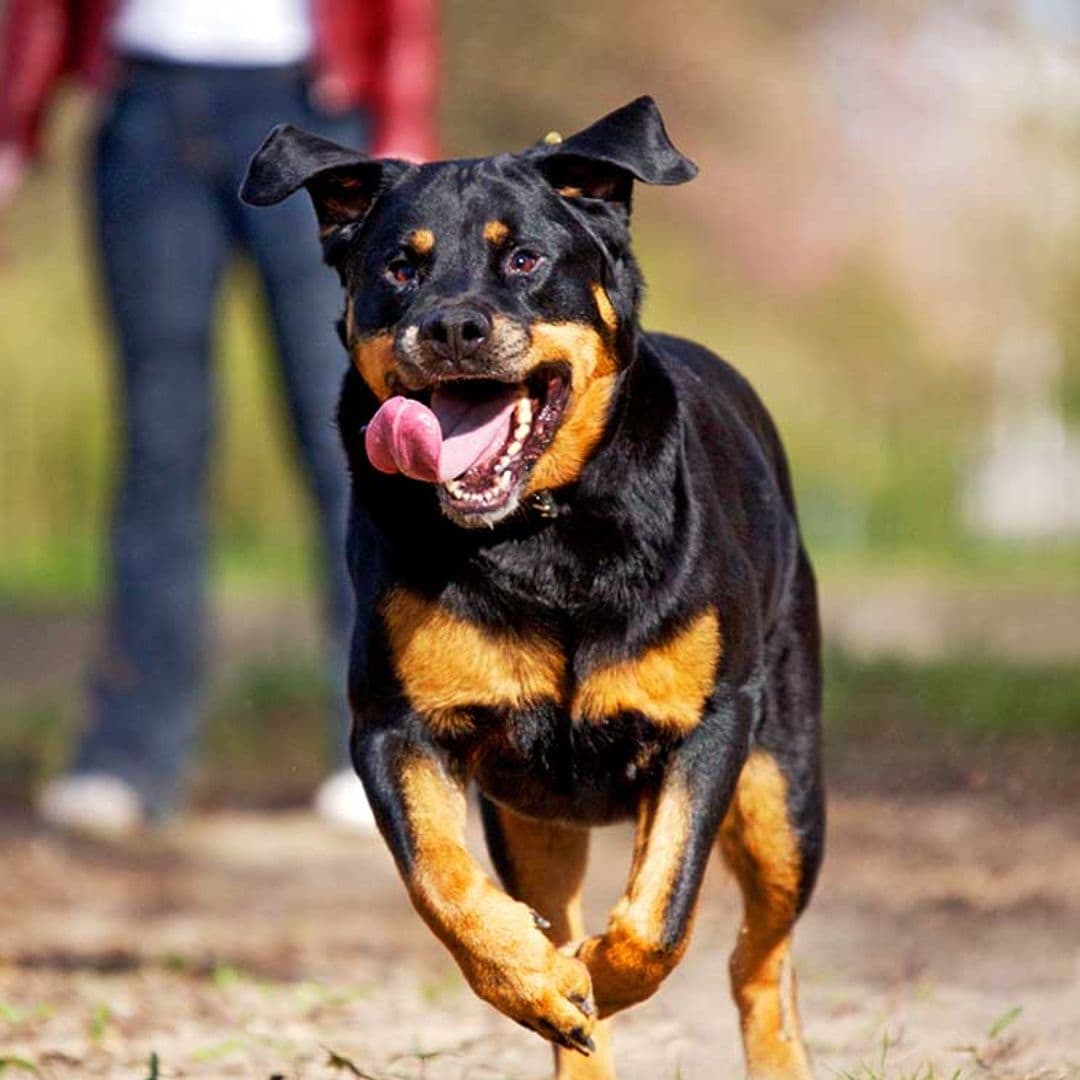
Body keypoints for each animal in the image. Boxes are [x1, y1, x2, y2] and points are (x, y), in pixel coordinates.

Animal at [243, 97, 816, 1075]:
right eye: (400, 266)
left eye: (525, 259)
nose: (452, 327)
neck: (542, 533)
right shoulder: (396, 726)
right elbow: (443, 882)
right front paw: (541, 983)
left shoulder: (711, 721)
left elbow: (661, 915)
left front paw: (597, 975)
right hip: (534, 819)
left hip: (784, 786)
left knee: (762, 957)